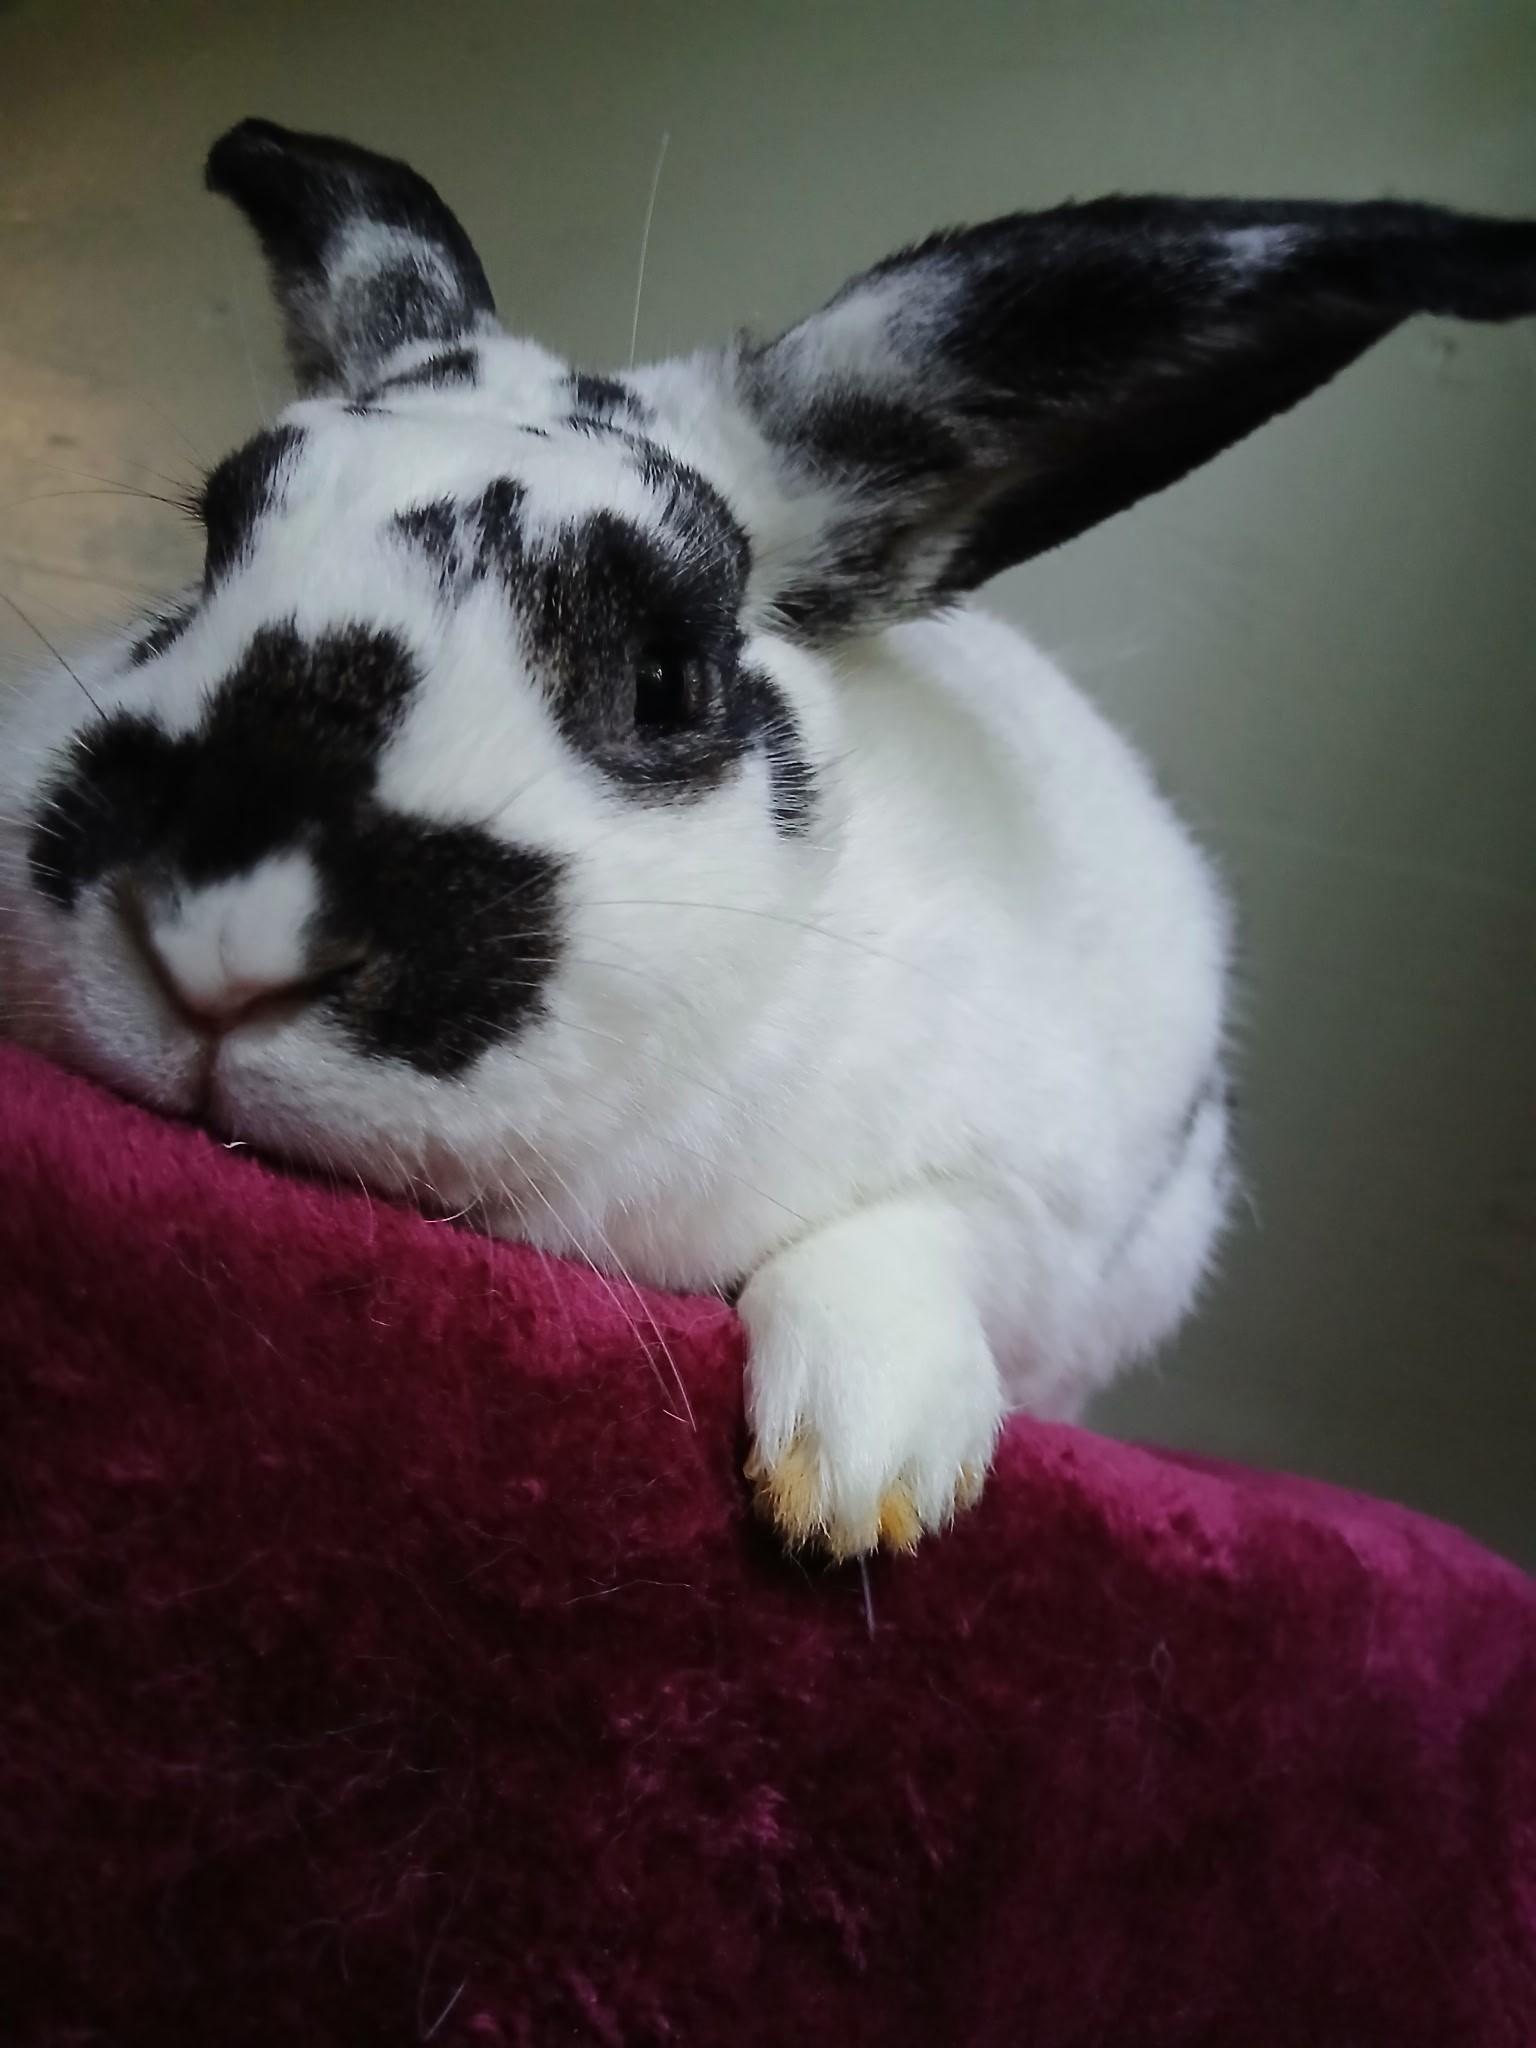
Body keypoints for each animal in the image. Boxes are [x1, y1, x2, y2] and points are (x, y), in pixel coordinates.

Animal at [2, 120, 1532, 1557]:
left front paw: (862, 1469)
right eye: (209, 548)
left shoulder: (1050, 1193)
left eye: (666, 679)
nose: (219, 933)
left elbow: (927, 1233)